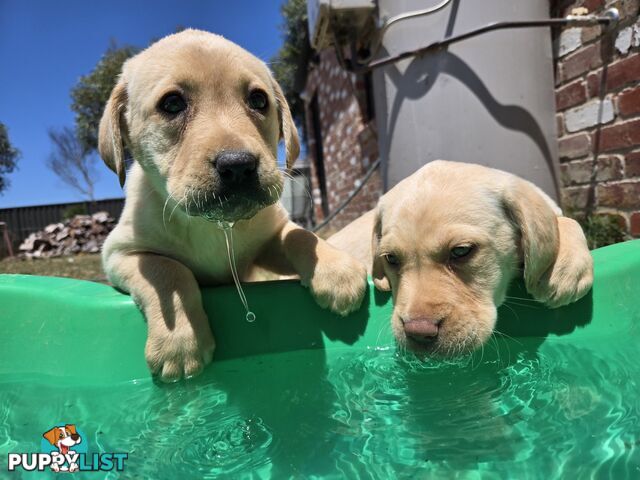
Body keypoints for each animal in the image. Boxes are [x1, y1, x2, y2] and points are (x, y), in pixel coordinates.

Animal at [102, 31, 368, 382]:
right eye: (172, 104)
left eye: (258, 100)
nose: (238, 166)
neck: (214, 226)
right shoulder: (118, 252)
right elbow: (167, 270)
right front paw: (179, 340)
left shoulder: (266, 241)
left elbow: (299, 235)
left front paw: (336, 268)